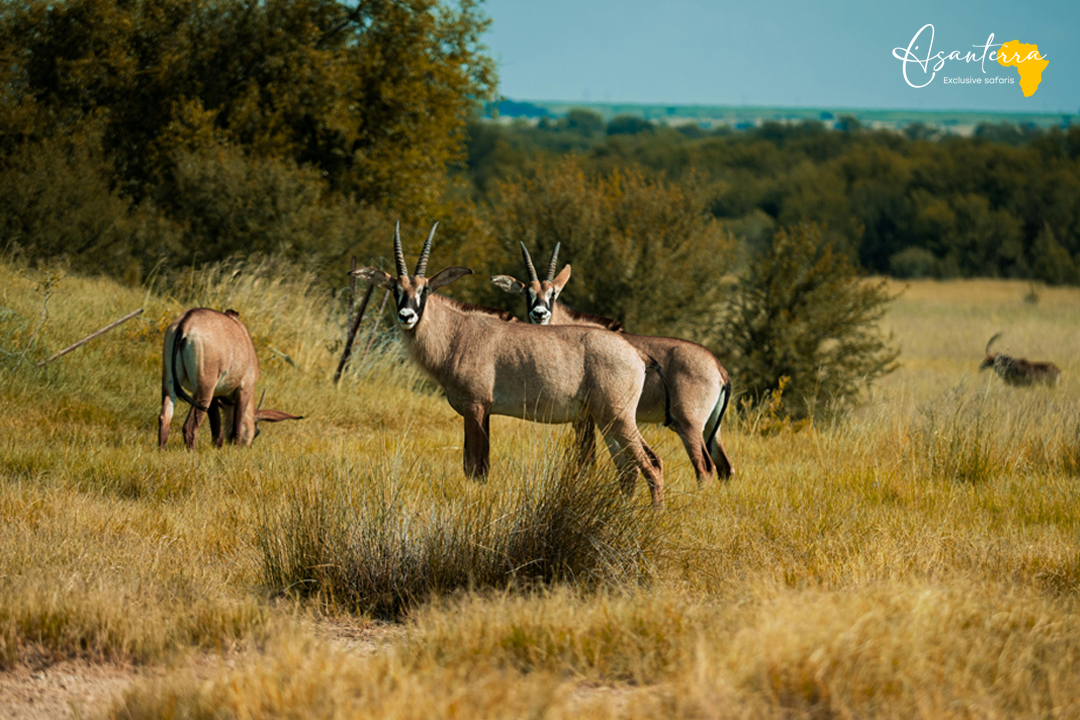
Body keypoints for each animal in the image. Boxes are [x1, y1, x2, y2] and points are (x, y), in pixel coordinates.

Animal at [159, 308, 302, 450]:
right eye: (257, 432)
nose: (248, 446)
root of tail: (187, 321)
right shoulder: (245, 389)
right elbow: (237, 426)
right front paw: (236, 448)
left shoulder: (215, 395)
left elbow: (217, 428)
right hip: (204, 390)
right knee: (190, 426)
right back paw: (192, 452)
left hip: (170, 384)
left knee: (164, 418)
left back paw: (162, 450)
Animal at [350, 223, 667, 506]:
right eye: (394, 288)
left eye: (425, 289)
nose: (407, 316)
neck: (457, 333)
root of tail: (636, 354)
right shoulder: (482, 412)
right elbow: (476, 465)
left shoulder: (476, 407)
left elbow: (476, 468)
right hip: (606, 421)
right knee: (627, 469)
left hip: (619, 418)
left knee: (651, 463)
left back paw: (654, 516)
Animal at [492, 243, 733, 484]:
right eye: (528, 293)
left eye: (553, 293)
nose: (539, 314)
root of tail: (718, 368)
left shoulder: (587, 417)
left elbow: (588, 458)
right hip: (710, 429)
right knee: (725, 468)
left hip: (688, 426)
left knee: (705, 468)